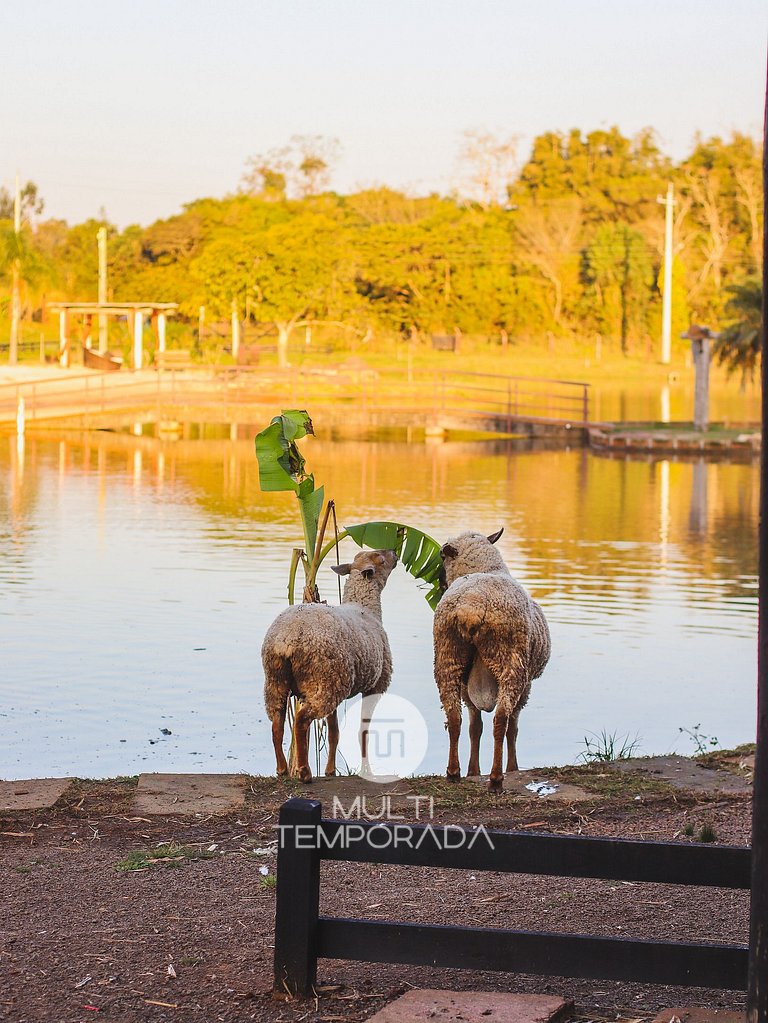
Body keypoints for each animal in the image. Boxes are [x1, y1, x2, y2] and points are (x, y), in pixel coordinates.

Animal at [263, 552, 396, 781]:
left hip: (279, 680)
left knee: (277, 724)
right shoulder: (376, 685)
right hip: (323, 681)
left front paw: (330, 770)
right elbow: (363, 730)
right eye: (381, 559)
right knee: (300, 721)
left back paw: (282, 769)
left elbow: (334, 732)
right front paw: (366, 770)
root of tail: (286, 639)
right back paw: (304, 772)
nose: (395, 554)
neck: (365, 608)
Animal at [433, 527, 552, 789]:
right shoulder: (527, 685)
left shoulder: (467, 686)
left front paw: (473, 771)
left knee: (454, 717)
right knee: (501, 720)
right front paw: (513, 768)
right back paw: (497, 778)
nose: (440, 582)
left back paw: (453, 772)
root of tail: (472, 605)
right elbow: (513, 728)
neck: (487, 569)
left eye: (441, 557)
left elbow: (475, 727)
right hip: (511, 662)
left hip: (448, 655)